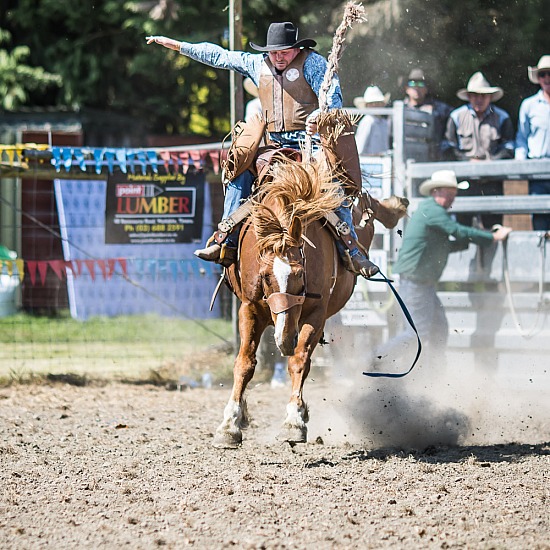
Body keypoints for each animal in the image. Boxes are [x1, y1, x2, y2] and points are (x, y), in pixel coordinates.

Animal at [213, 155, 408, 448]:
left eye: (300, 274)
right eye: (265, 276)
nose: (284, 339)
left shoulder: (315, 313)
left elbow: (298, 361)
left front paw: (293, 421)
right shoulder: (249, 308)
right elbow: (244, 363)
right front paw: (230, 424)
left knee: (369, 205)